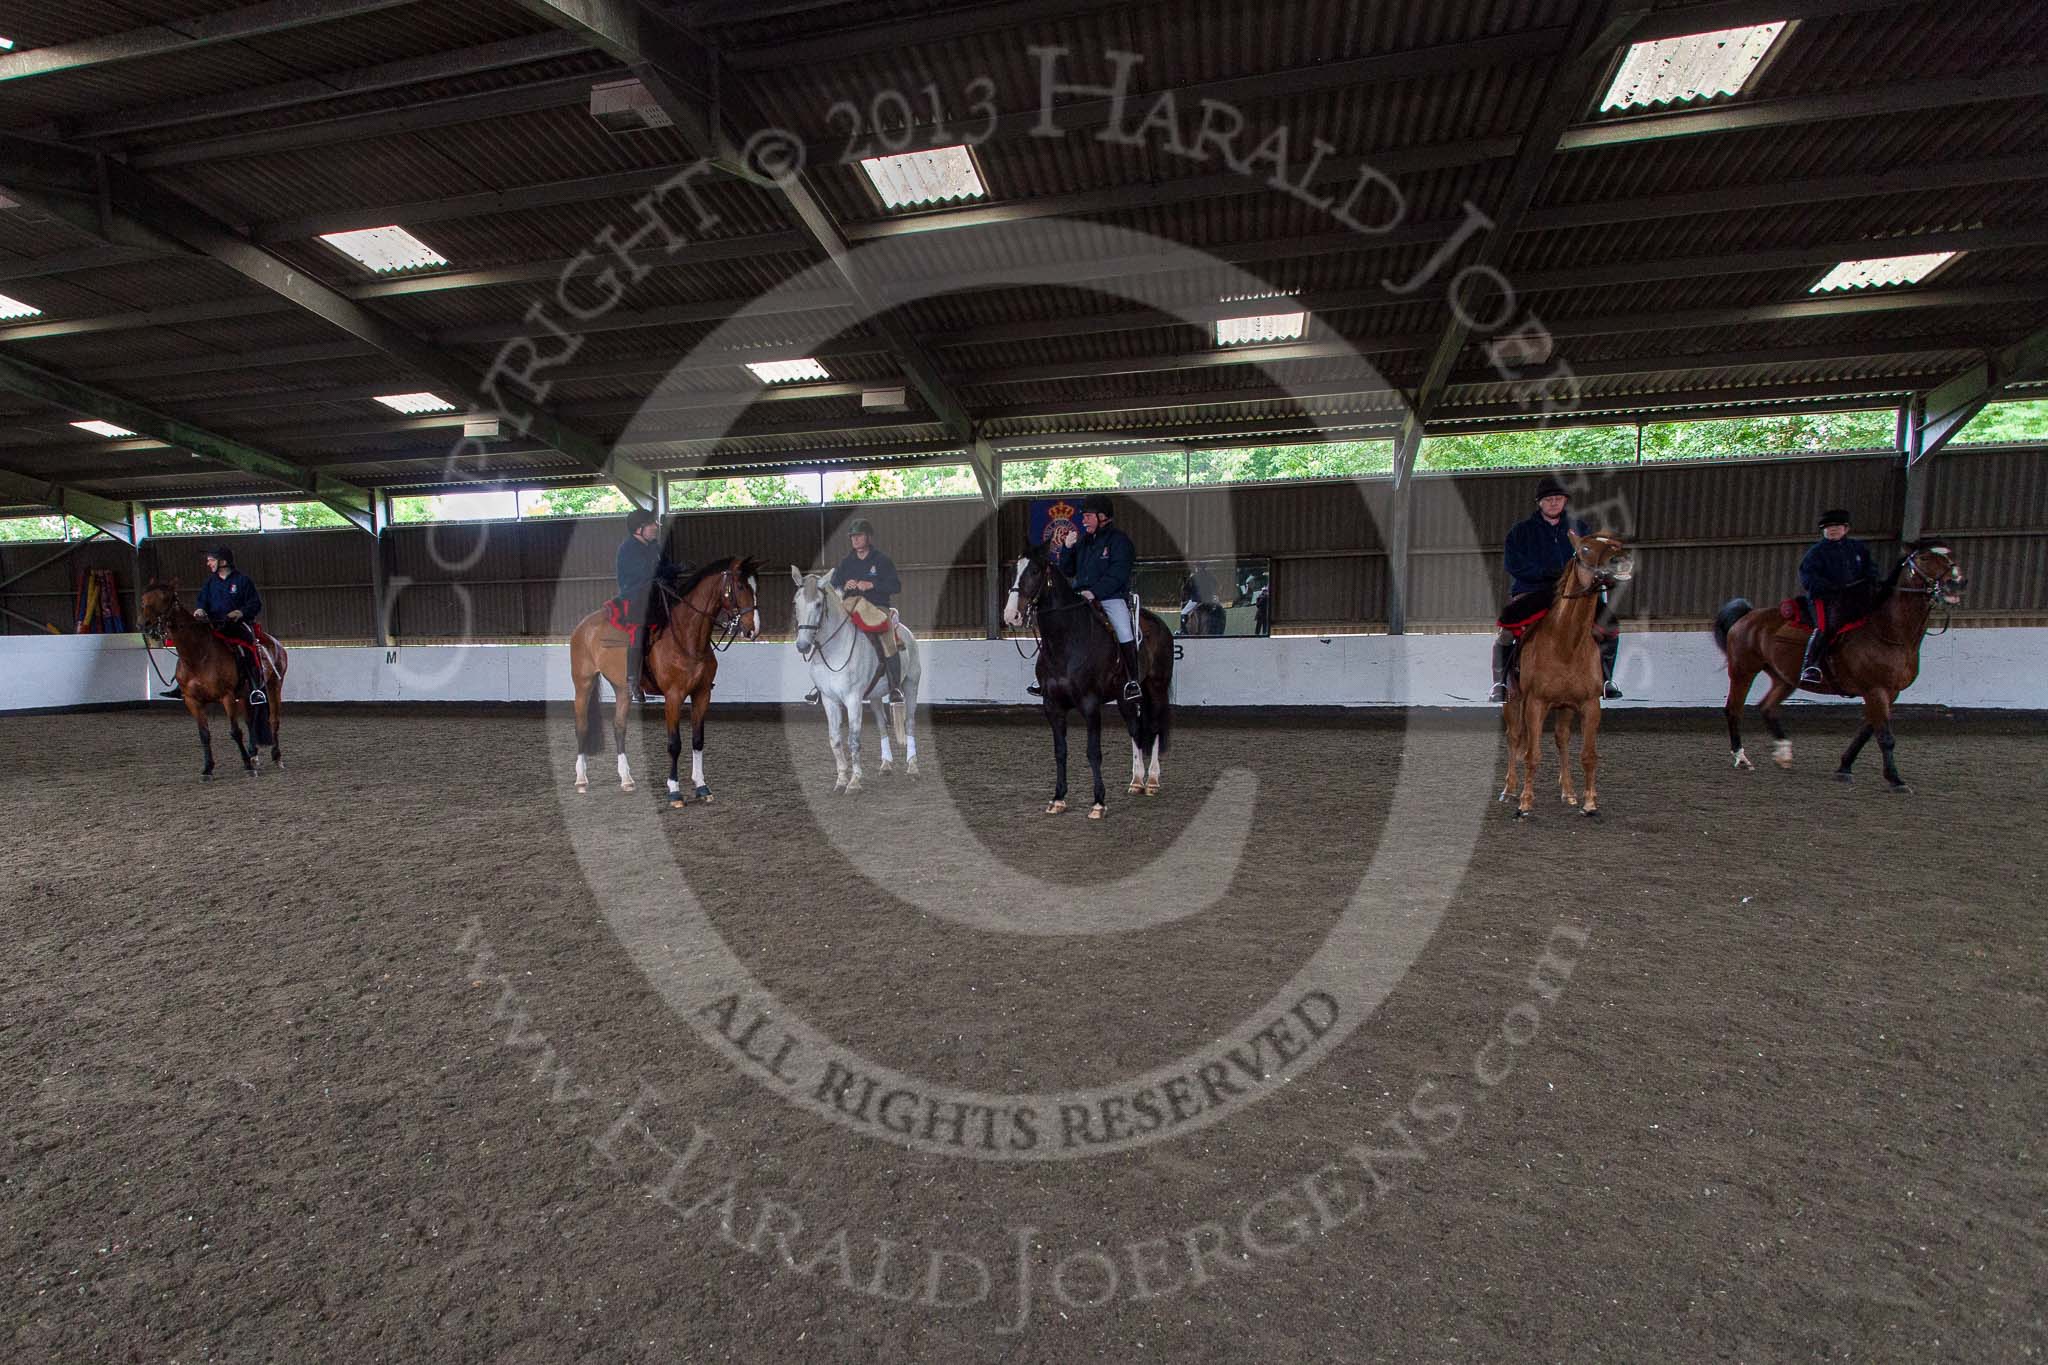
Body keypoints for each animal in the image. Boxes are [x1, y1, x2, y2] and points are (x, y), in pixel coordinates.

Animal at [138, 581, 286, 785]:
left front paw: (247, 767)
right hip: (246, 693)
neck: (199, 655)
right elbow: (204, 735)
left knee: (273, 719)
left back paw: (276, 757)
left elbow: (235, 731)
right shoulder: (192, 701)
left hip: (273, 686)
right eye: (143, 598)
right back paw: (253, 755)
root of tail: (274, 642)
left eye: (165, 597)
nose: (144, 624)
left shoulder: (227, 697)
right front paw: (208, 769)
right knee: (251, 721)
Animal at [569, 556, 761, 810]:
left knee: (619, 727)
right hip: (583, 684)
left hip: (622, 689)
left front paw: (702, 787)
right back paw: (581, 780)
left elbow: (698, 740)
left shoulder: (702, 694)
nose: (753, 629)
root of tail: (583, 626)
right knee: (582, 727)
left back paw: (626, 780)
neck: (687, 638)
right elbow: (674, 744)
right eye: (740, 586)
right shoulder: (673, 696)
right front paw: (674, 791)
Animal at [1003, 544, 1179, 822]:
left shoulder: (1090, 705)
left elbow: (1093, 752)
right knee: (1136, 730)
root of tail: (1159, 623)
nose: (1012, 615)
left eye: (1034, 571)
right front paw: (1058, 799)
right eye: (1013, 571)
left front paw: (1098, 803)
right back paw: (1136, 781)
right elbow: (1060, 752)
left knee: (1155, 727)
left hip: (1157, 687)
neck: (1066, 642)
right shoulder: (1052, 706)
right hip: (1126, 697)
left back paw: (1151, 781)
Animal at [1499, 536, 1638, 822]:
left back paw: (1569, 792)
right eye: (1584, 549)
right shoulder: (1535, 704)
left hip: (1565, 707)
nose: (1622, 561)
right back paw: (1509, 789)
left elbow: (1588, 755)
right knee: (1514, 737)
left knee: (1561, 739)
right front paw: (1524, 804)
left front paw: (1590, 803)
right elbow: (1532, 755)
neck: (1566, 644)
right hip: (1513, 701)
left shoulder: (1590, 705)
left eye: (1616, 543)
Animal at [1712, 540, 1966, 789]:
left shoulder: (1889, 693)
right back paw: (1742, 759)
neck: (1889, 631)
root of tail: (1747, 615)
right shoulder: (1876, 690)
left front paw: (1844, 767)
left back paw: (1783, 754)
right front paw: (1895, 779)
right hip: (1743, 671)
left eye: (1950, 555)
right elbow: (1885, 736)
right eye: (1924, 558)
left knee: (1767, 706)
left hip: (1784, 678)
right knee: (1734, 709)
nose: (1956, 583)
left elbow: (1866, 732)